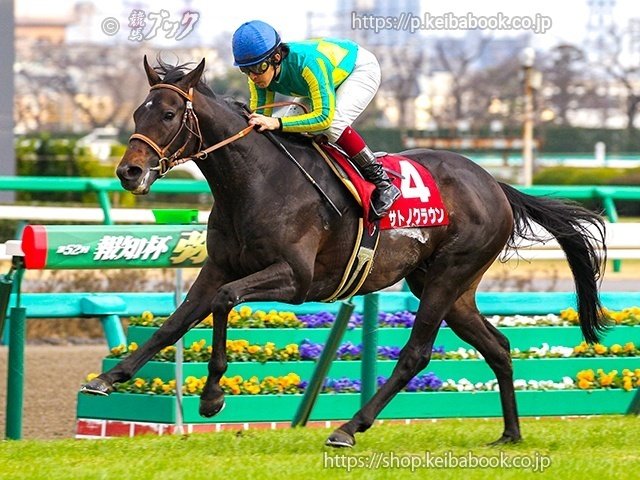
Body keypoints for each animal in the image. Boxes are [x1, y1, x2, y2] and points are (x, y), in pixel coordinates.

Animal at [82, 57, 608, 448]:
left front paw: (212, 396)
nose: (128, 172)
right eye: (138, 113)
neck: (254, 182)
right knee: (497, 346)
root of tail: (497, 185)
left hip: (447, 277)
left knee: (416, 355)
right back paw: (510, 434)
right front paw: (109, 379)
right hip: (451, 286)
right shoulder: (219, 266)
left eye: (169, 115)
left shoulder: (295, 279)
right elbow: (177, 321)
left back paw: (349, 427)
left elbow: (224, 301)